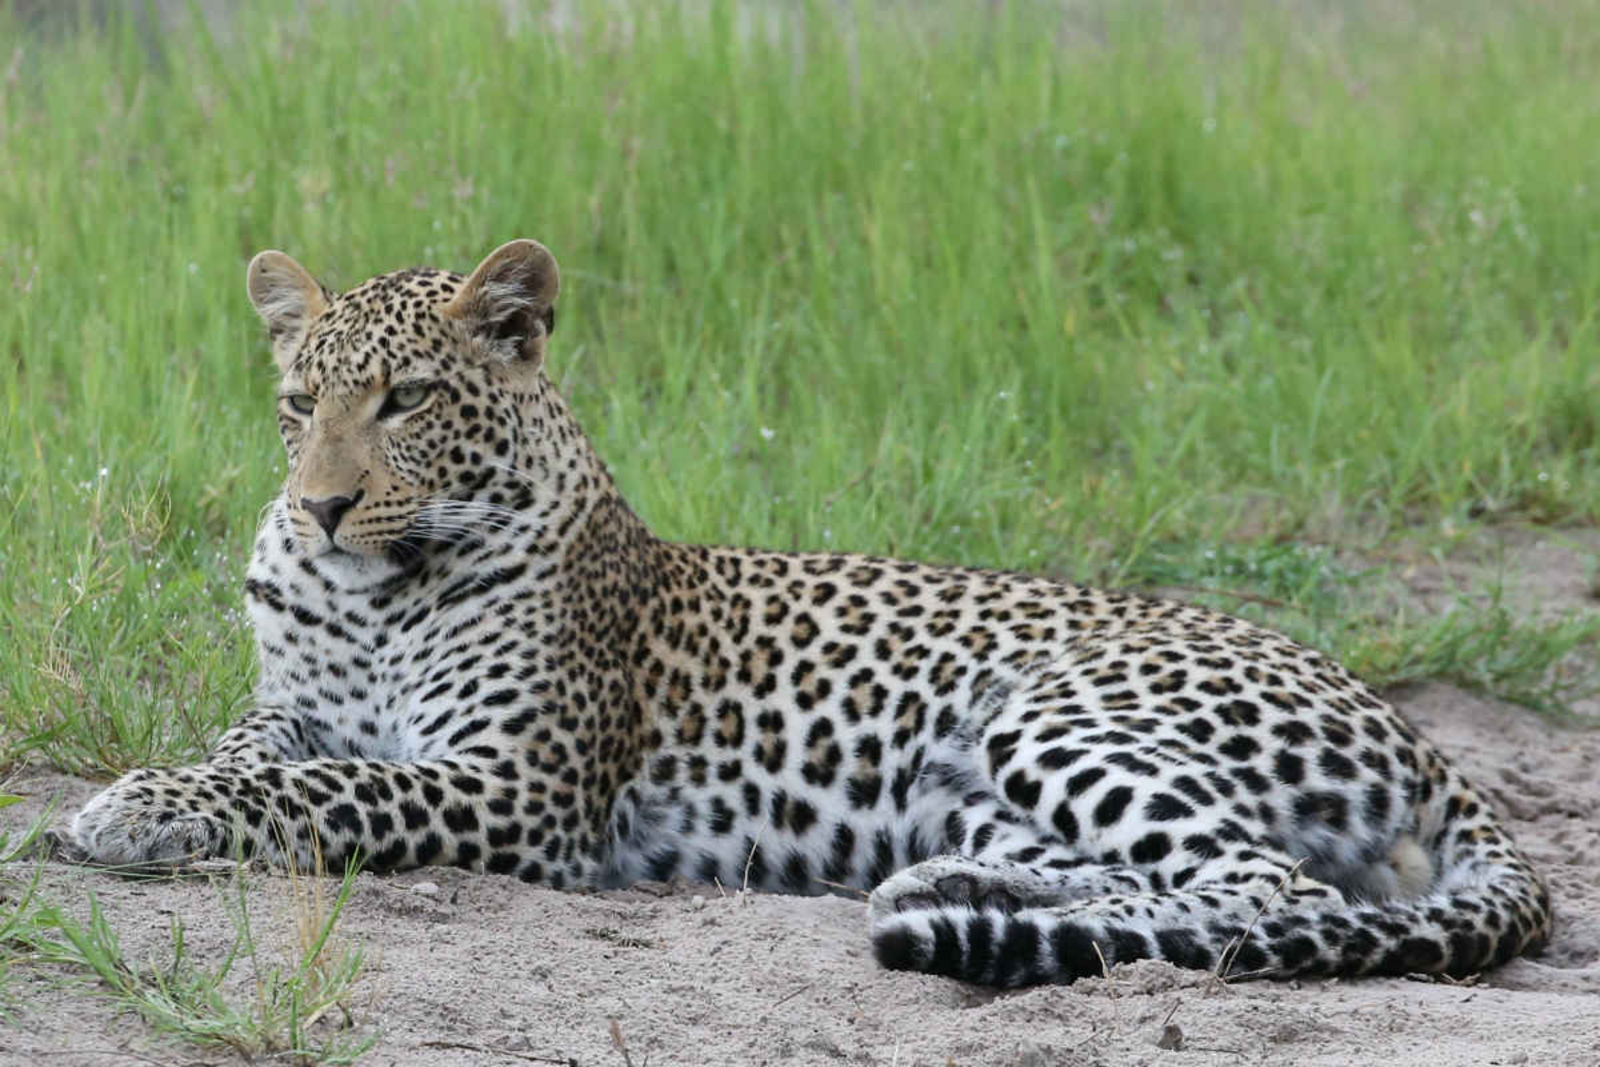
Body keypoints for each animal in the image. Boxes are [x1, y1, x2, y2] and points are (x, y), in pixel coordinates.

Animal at [68, 239, 1552, 986]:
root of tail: (1418, 738)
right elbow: (253, 756)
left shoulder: (520, 785)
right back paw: (947, 890)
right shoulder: (290, 710)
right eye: (299, 402)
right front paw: (152, 793)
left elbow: (326, 791)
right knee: (1222, 877)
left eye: (409, 400)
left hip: (1055, 711)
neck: (372, 594)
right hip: (978, 784)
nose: (319, 505)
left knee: (1264, 883)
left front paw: (129, 811)